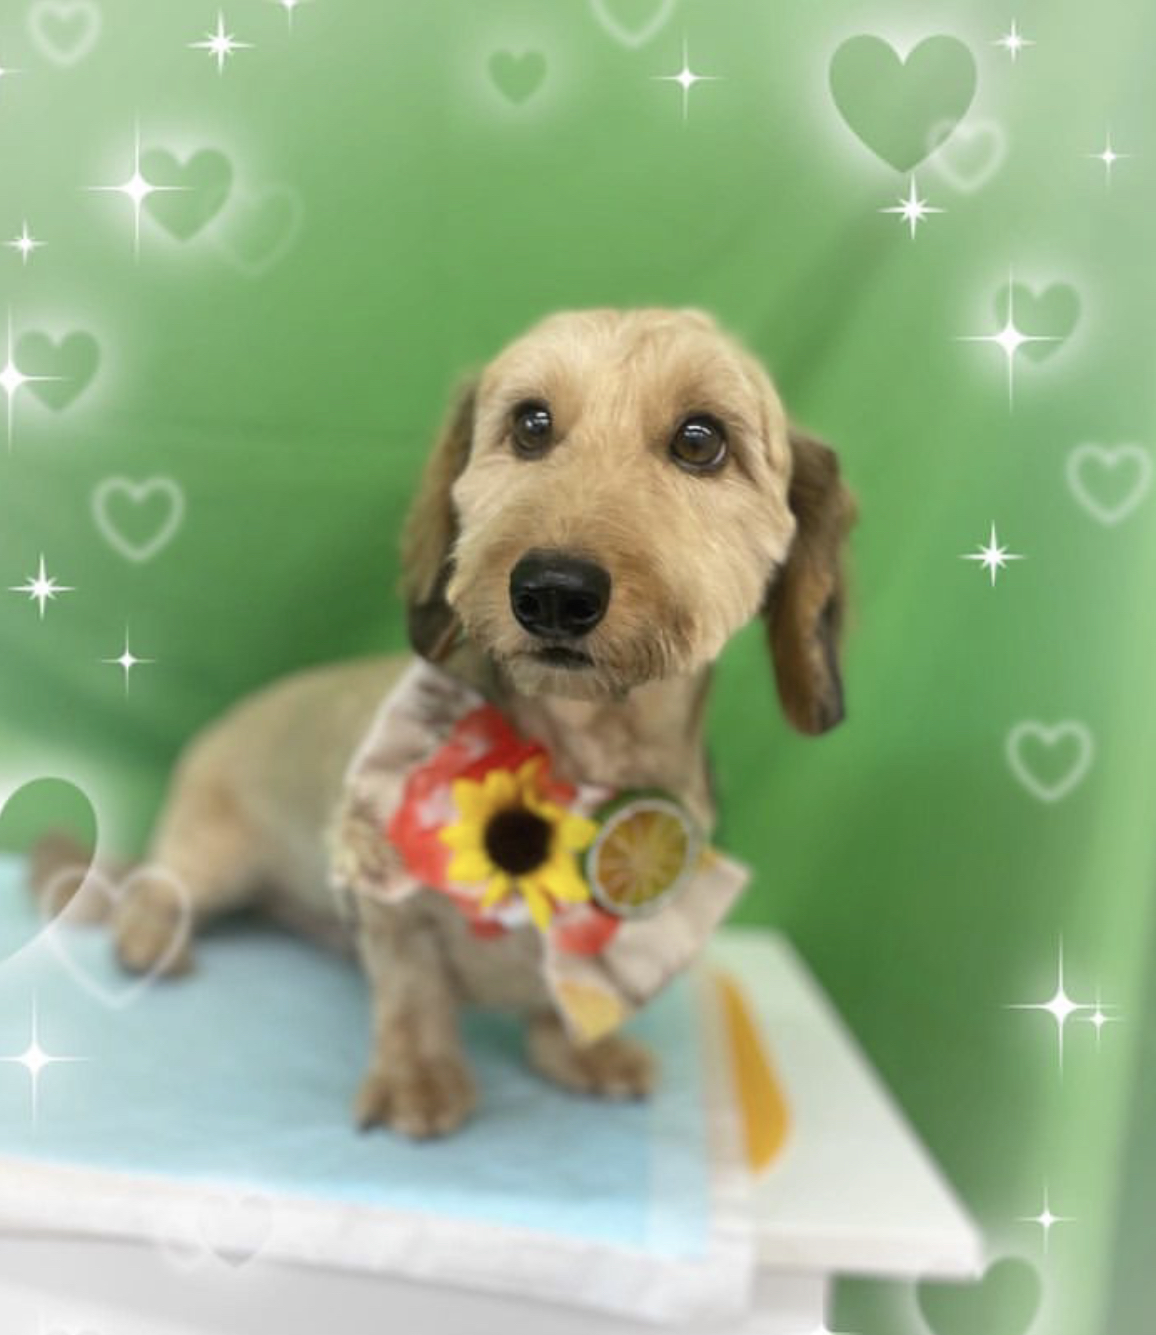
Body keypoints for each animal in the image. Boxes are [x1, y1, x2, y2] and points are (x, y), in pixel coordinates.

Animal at [106, 307, 854, 1139]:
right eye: (531, 423)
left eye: (701, 439)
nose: (553, 590)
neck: (579, 759)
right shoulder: (387, 897)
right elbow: (413, 992)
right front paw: (419, 1078)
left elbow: (564, 993)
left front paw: (580, 1052)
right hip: (212, 853)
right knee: (157, 885)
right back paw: (149, 935)